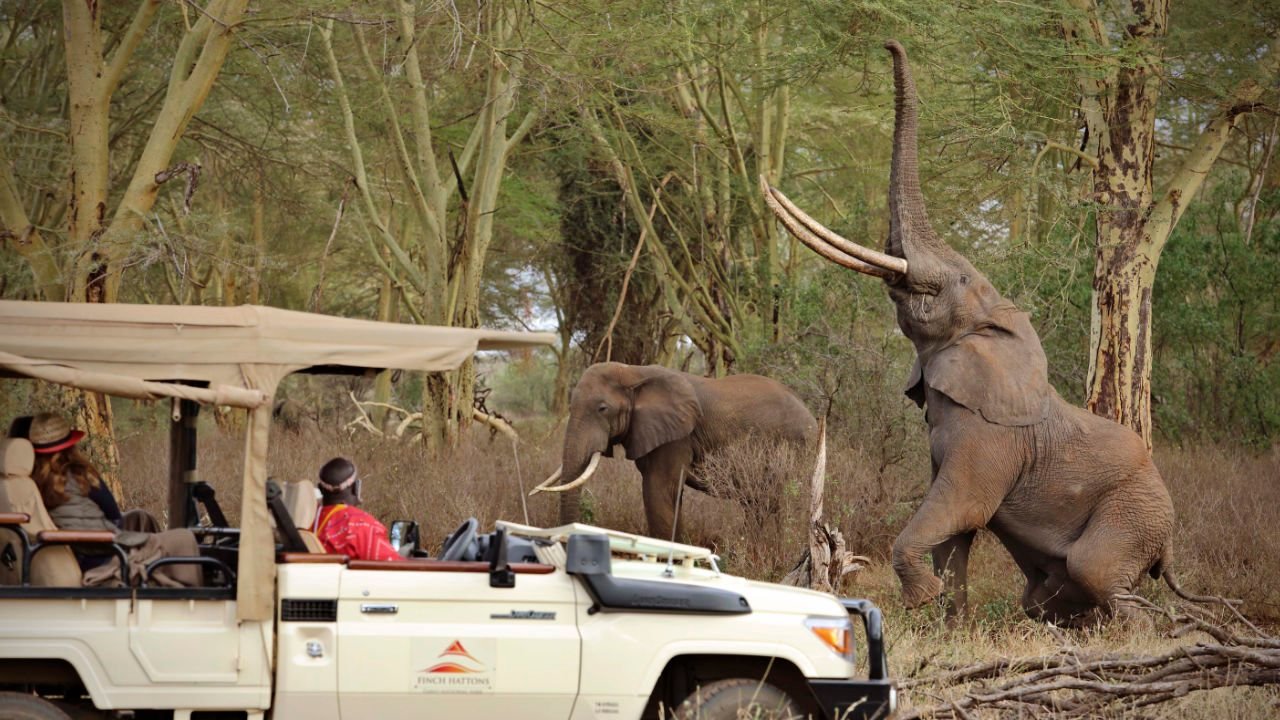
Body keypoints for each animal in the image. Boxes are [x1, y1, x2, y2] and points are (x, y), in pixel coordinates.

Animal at [532, 363, 814, 538]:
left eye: (602, 409)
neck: (633, 371)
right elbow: (669, 496)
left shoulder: (678, 437)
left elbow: (658, 491)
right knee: (758, 504)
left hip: (794, 445)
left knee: (773, 501)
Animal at [757, 40, 1208, 622]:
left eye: (960, 280)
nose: (890, 44)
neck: (998, 329)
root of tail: (1168, 540)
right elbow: (954, 534)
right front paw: (947, 618)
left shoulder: (990, 439)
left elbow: (961, 508)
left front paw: (922, 600)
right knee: (1047, 594)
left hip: (1135, 512)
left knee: (1097, 571)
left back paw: (1137, 631)